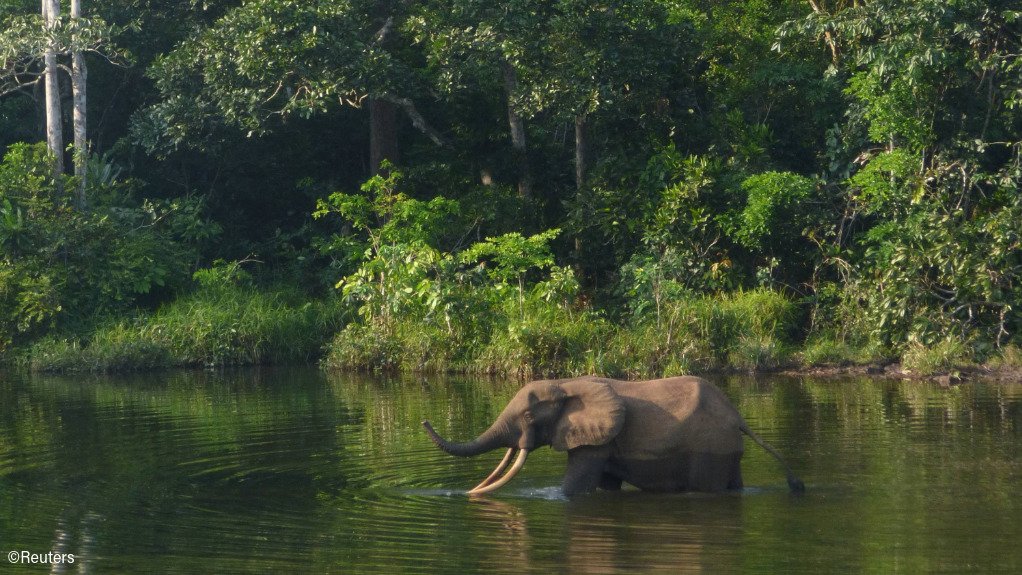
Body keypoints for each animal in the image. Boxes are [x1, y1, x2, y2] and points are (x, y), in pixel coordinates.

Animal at [423, 375, 805, 497]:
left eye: (530, 416)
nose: (425, 421)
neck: (568, 383)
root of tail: (738, 417)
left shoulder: (595, 443)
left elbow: (572, 489)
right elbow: (605, 486)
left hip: (709, 450)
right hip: (725, 450)